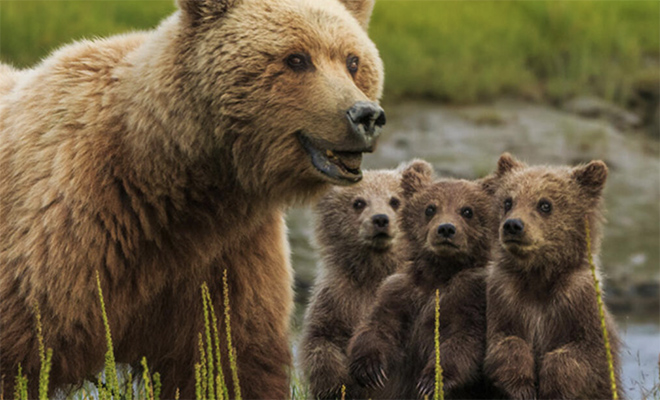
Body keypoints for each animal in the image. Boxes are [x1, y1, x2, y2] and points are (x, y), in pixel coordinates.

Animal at [0, 0, 384, 396]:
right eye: (296, 58)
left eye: (353, 60)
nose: (366, 115)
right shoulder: (70, 234)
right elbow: (20, 355)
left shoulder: (227, 256)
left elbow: (237, 359)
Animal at [300, 160, 434, 400]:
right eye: (359, 202)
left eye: (395, 200)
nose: (380, 219)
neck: (375, 269)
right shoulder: (338, 295)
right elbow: (321, 340)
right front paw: (341, 384)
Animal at [348, 164, 498, 398]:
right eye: (430, 208)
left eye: (467, 210)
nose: (446, 229)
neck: (438, 273)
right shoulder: (400, 292)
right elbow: (377, 326)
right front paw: (370, 370)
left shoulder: (471, 294)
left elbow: (463, 340)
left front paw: (431, 381)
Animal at [482, 154, 620, 400]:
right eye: (508, 201)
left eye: (545, 204)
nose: (513, 225)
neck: (539, 276)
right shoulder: (505, 297)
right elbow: (504, 342)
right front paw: (523, 388)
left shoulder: (577, 302)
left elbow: (584, 353)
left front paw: (553, 386)